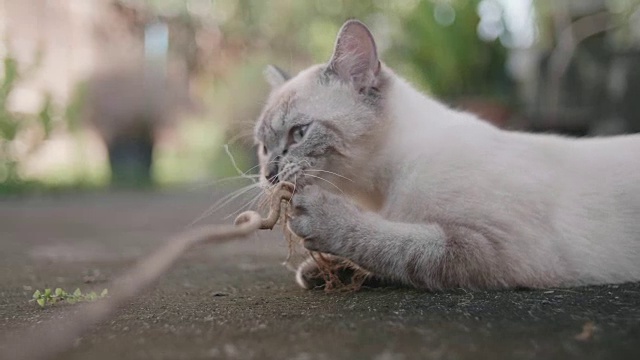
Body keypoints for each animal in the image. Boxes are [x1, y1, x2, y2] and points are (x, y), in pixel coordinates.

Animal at [252, 19, 636, 290]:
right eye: (263, 147)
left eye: (299, 133)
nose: (269, 174)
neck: (379, 193)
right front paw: (321, 271)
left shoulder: (492, 247)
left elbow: (402, 247)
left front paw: (325, 224)